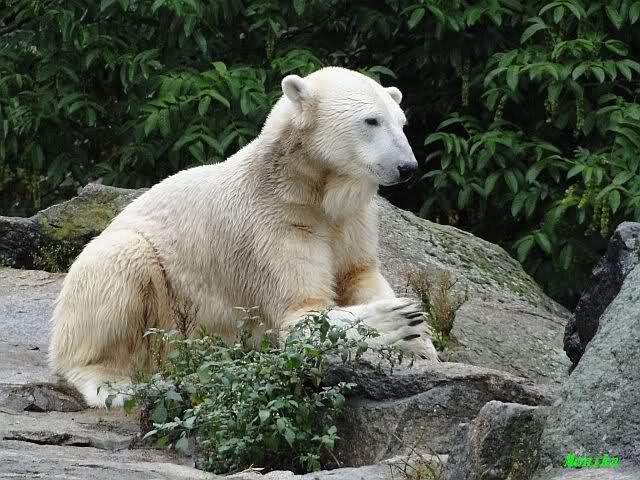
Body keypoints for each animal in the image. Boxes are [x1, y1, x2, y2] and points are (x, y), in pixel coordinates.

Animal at [49, 67, 438, 408]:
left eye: (401, 122)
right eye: (371, 120)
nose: (407, 167)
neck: (305, 188)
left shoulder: (351, 221)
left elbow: (360, 274)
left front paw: (422, 343)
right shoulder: (272, 226)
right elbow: (300, 314)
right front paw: (399, 318)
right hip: (148, 301)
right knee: (120, 265)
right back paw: (112, 384)